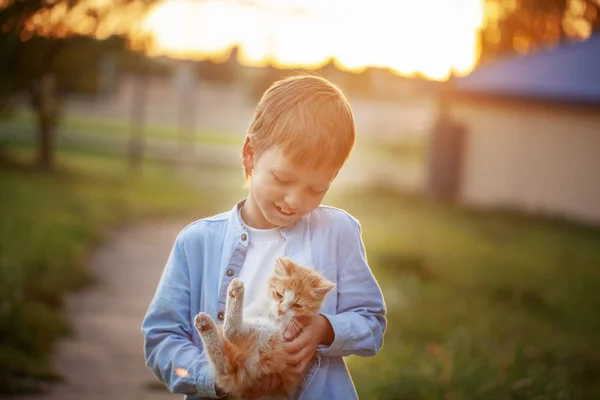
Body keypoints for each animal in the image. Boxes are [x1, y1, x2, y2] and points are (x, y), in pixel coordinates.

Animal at [193, 258, 332, 398]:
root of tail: (240, 375)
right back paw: (206, 324)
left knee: (231, 332)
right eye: (279, 295)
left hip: (268, 340)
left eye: (297, 305)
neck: (271, 315)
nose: (280, 311)